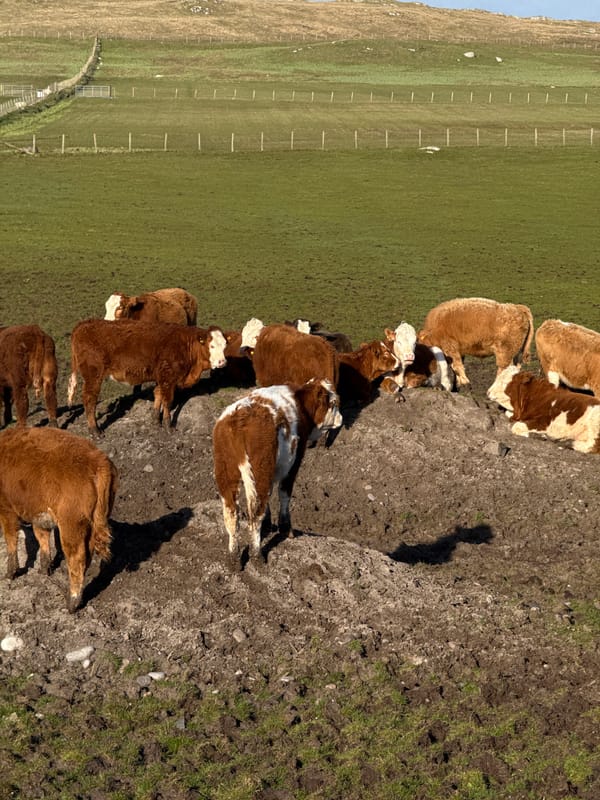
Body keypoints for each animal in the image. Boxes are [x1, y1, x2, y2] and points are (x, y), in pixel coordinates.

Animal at [0, 426, 118, 612]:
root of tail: (98, 461)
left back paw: (72, 602)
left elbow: (11, 540)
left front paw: (11, 572)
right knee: (87, 555)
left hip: (71, 526)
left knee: (76, 558)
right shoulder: (40, 514)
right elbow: (42, 538)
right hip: (91, 523)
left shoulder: (7, 510)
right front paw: (44, 569)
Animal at [68, 318, 226, 435]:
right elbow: (168, 401)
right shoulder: (168, 378)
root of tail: (84, 324)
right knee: (89, 399)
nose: (222, 362)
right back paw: (95, 430)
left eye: (225, 346)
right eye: (211, 346)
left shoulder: (161, 377)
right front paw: (168, 426)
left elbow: (158, 395)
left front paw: (156, 420)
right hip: (93, 376)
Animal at [213, 379, 343, 569]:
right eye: (333, 403)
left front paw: (269, 524)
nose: (341, 419)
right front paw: (286, 529)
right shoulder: (294, 462)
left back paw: (234, 557)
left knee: (231, 513)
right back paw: (257, 555)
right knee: (255, 513)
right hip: (259, 471)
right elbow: (284, 494)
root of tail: (237, 421)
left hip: (226, 470)